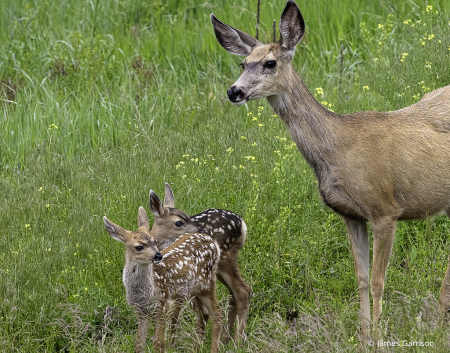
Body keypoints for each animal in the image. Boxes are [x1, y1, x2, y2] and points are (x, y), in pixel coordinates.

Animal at [102, 206, 221, 352]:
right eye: (139, 247)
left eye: (154, 242)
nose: (158, 255)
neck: (146, 292)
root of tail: (211, 241)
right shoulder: (141, 312)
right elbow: (139, 343)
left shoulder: (163, 305)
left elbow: (158, 343)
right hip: (190, 292)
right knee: (204, 314)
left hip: (207, 283)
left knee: (217, 313)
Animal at [149, 183, 251, 342]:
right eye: (179, 222)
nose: (201, 231)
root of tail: (242, 224)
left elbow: (174, 314)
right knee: (233, 293)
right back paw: (225, 339)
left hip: (224, 258)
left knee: (243, 291)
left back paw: (237, 341)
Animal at [211, 0, 450, 338]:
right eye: (243, 63)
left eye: (270, 63)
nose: (234, 91)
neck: (338, 150)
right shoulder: (351, 215)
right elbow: (361, 279)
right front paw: (362, 335)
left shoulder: (386, 209)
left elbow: (378, 281)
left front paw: (378, 336)